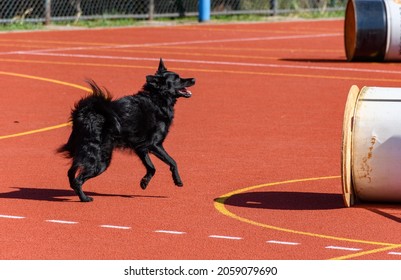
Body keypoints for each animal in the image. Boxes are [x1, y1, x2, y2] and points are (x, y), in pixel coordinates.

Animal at [57, 59, 194, 202]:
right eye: (177, 78)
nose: (193, 79)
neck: (156, 99)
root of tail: (86, 113)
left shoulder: (141, 147)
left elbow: (151, 167)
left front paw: (144, 182)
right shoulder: (155, 145)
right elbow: (172, 161)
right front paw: (178, 180)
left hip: (83, 152)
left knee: (71, 172)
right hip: (100, 160)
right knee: (78, 179)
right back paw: (84, 198)